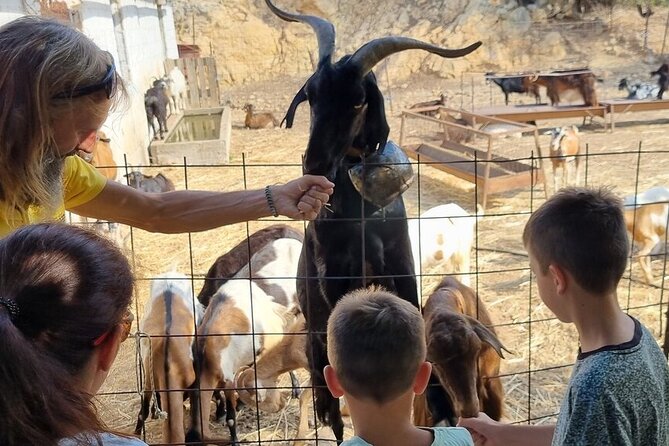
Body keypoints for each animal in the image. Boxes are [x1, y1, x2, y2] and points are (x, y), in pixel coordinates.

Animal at [260, 1, 480, 444]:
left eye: (359, 100)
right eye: (311, 95)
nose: (315, 163)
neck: (361, 214)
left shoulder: (401, 262)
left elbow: (417, 324)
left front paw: (441, 406)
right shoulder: (334, 273)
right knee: (319, 368)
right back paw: (330, 412)